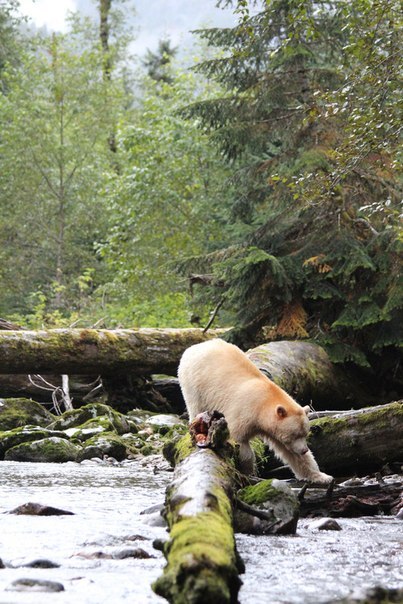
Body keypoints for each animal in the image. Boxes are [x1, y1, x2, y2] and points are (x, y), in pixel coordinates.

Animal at [178, 338, 332, 484]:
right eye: (294, 434)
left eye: (305, 433)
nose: (304, 449)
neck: (263, 403)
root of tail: (194, 347)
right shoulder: (243, 412)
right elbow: (239, 440)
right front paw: (247, 470)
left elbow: (293, 454)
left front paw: (322, 476)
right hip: (194, 381)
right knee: (195, 405)